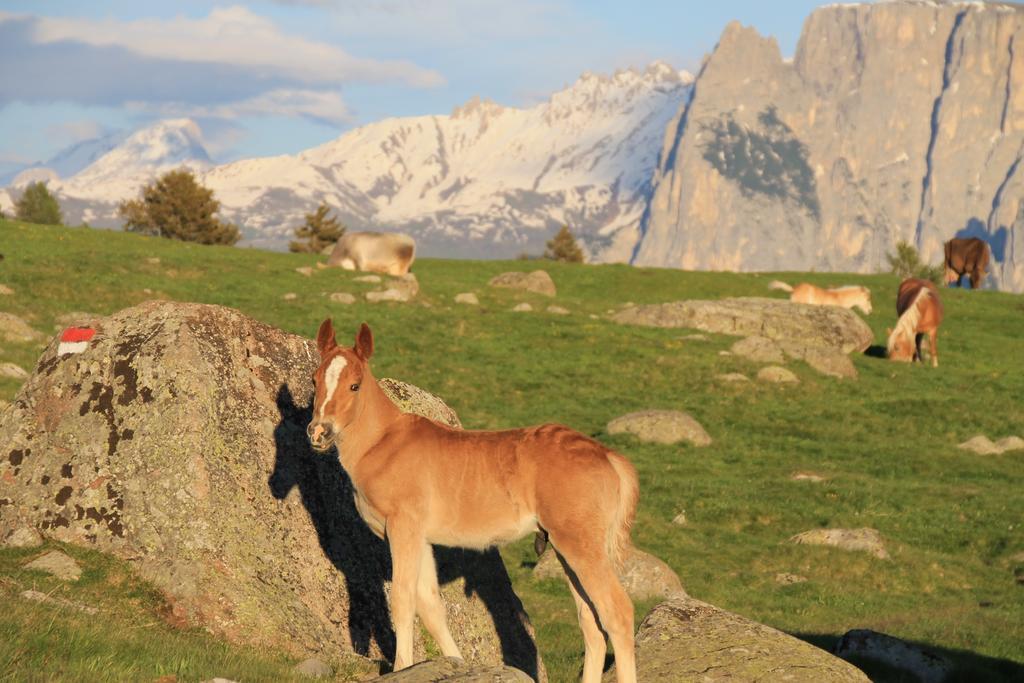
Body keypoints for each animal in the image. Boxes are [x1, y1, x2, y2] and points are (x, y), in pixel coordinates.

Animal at [307, 321, 634, 683]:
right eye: (314, 381)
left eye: (355, 385)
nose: (319, 433)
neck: (383, 443)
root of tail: (608, 456)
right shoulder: (421, 538)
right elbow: (431, 605)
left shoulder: (403, 529)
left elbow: (403, 599)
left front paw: (402, 667)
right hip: (567, 549)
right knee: (591, 622)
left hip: (581, 545)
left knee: (617, 613)